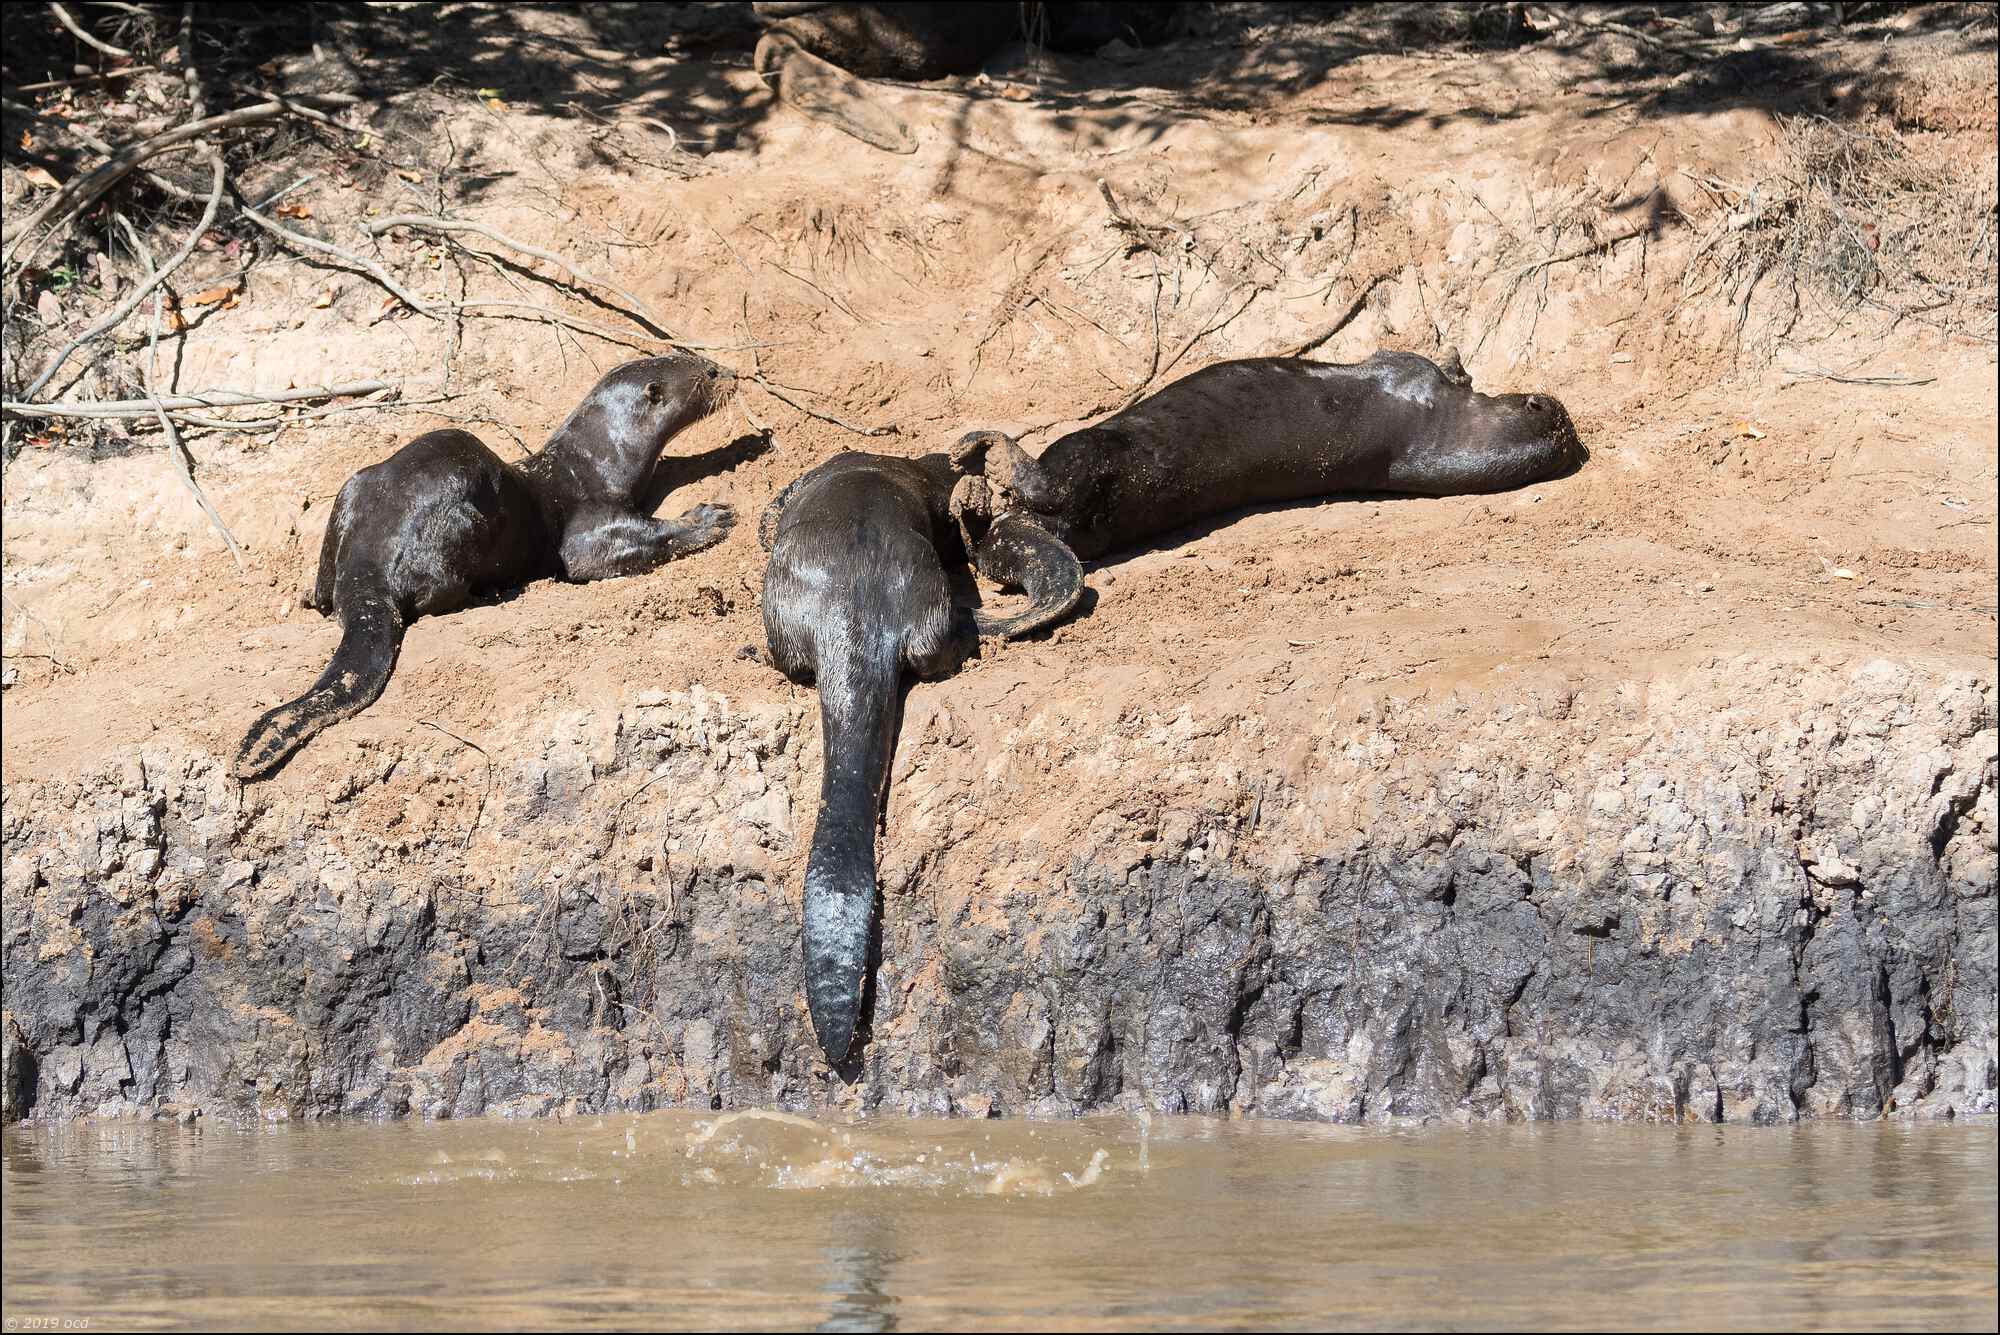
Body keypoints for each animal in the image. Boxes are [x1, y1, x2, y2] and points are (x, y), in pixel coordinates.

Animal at [234, 351, 736, 783]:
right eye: (708, 373)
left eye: (702, 359)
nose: (733, 373)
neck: (604, 459)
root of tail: (368, 561)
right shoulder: (590, 520)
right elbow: (614, 548)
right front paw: (709, 519)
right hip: (461, 523)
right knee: (438, 596)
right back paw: (491, 595)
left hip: (351, 489)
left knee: (326, 585)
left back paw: (311, 594)